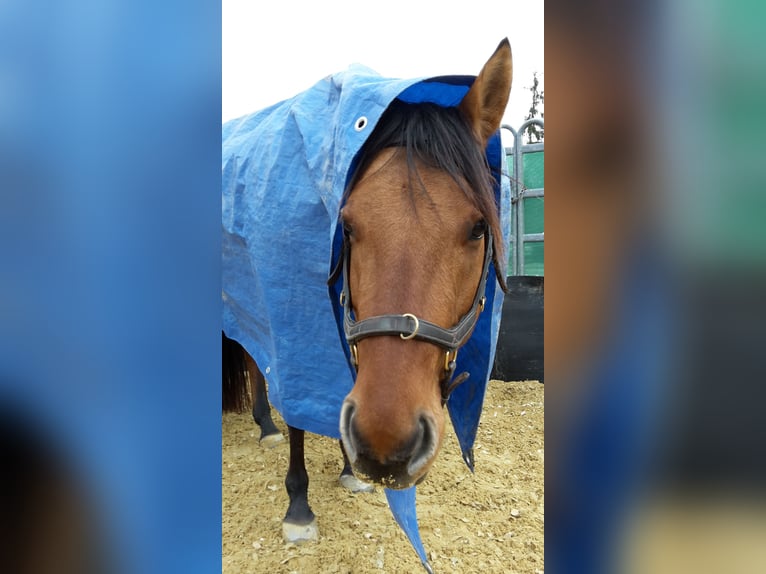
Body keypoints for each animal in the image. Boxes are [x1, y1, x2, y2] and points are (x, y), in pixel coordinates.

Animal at [222, 38, 512, 552]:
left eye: (480, 228)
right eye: (348, 226)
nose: (386, 446)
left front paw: (348, 467)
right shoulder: (296, 326)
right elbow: (300, 411)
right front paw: (299, 505)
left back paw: (264, 424)